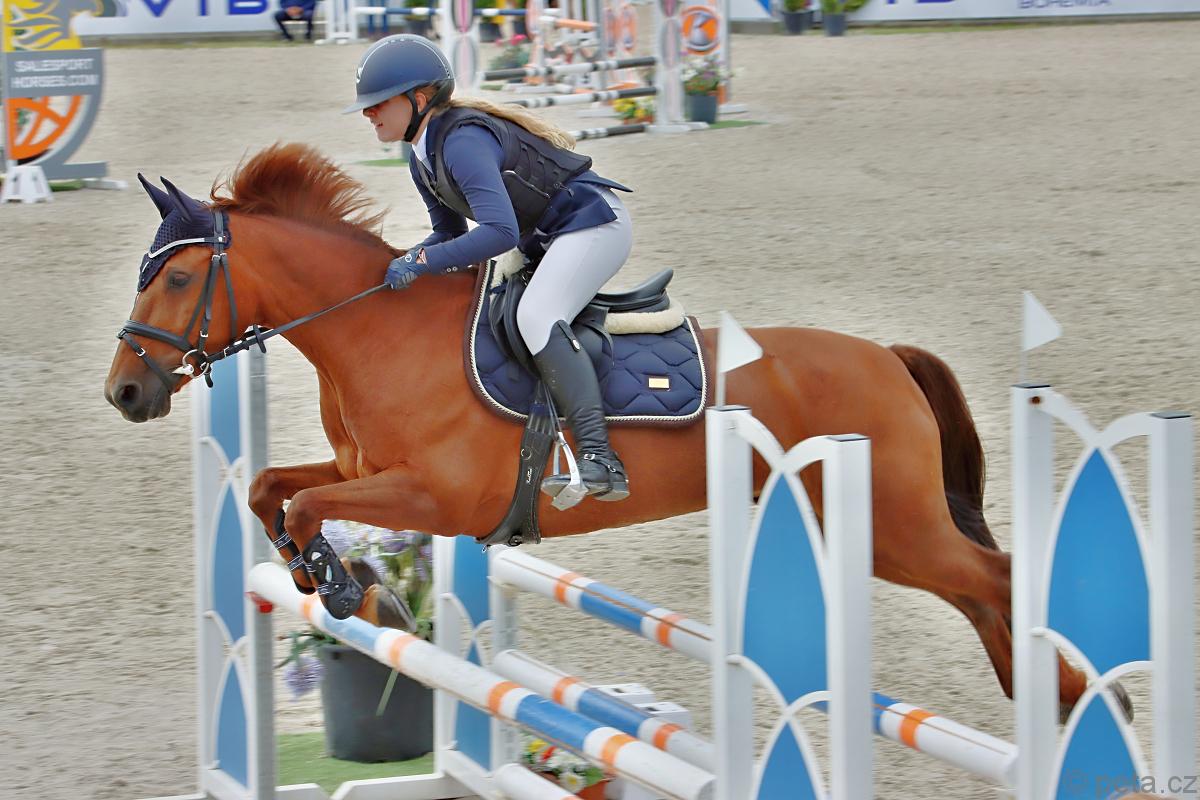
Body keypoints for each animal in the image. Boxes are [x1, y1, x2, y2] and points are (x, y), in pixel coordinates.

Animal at [103, 142, 1113, 722]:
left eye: (180, 280)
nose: (125, 391)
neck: (376, 333)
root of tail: (888, 358)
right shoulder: (364, 469)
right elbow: (274, 489)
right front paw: (332, 582)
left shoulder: (436, 495)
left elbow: (307, 503)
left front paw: (355, 592)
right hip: (878, 530)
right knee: (980, 588)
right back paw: (1052, 703)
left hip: (896, 528)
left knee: (998, 577)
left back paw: (1072, 700)